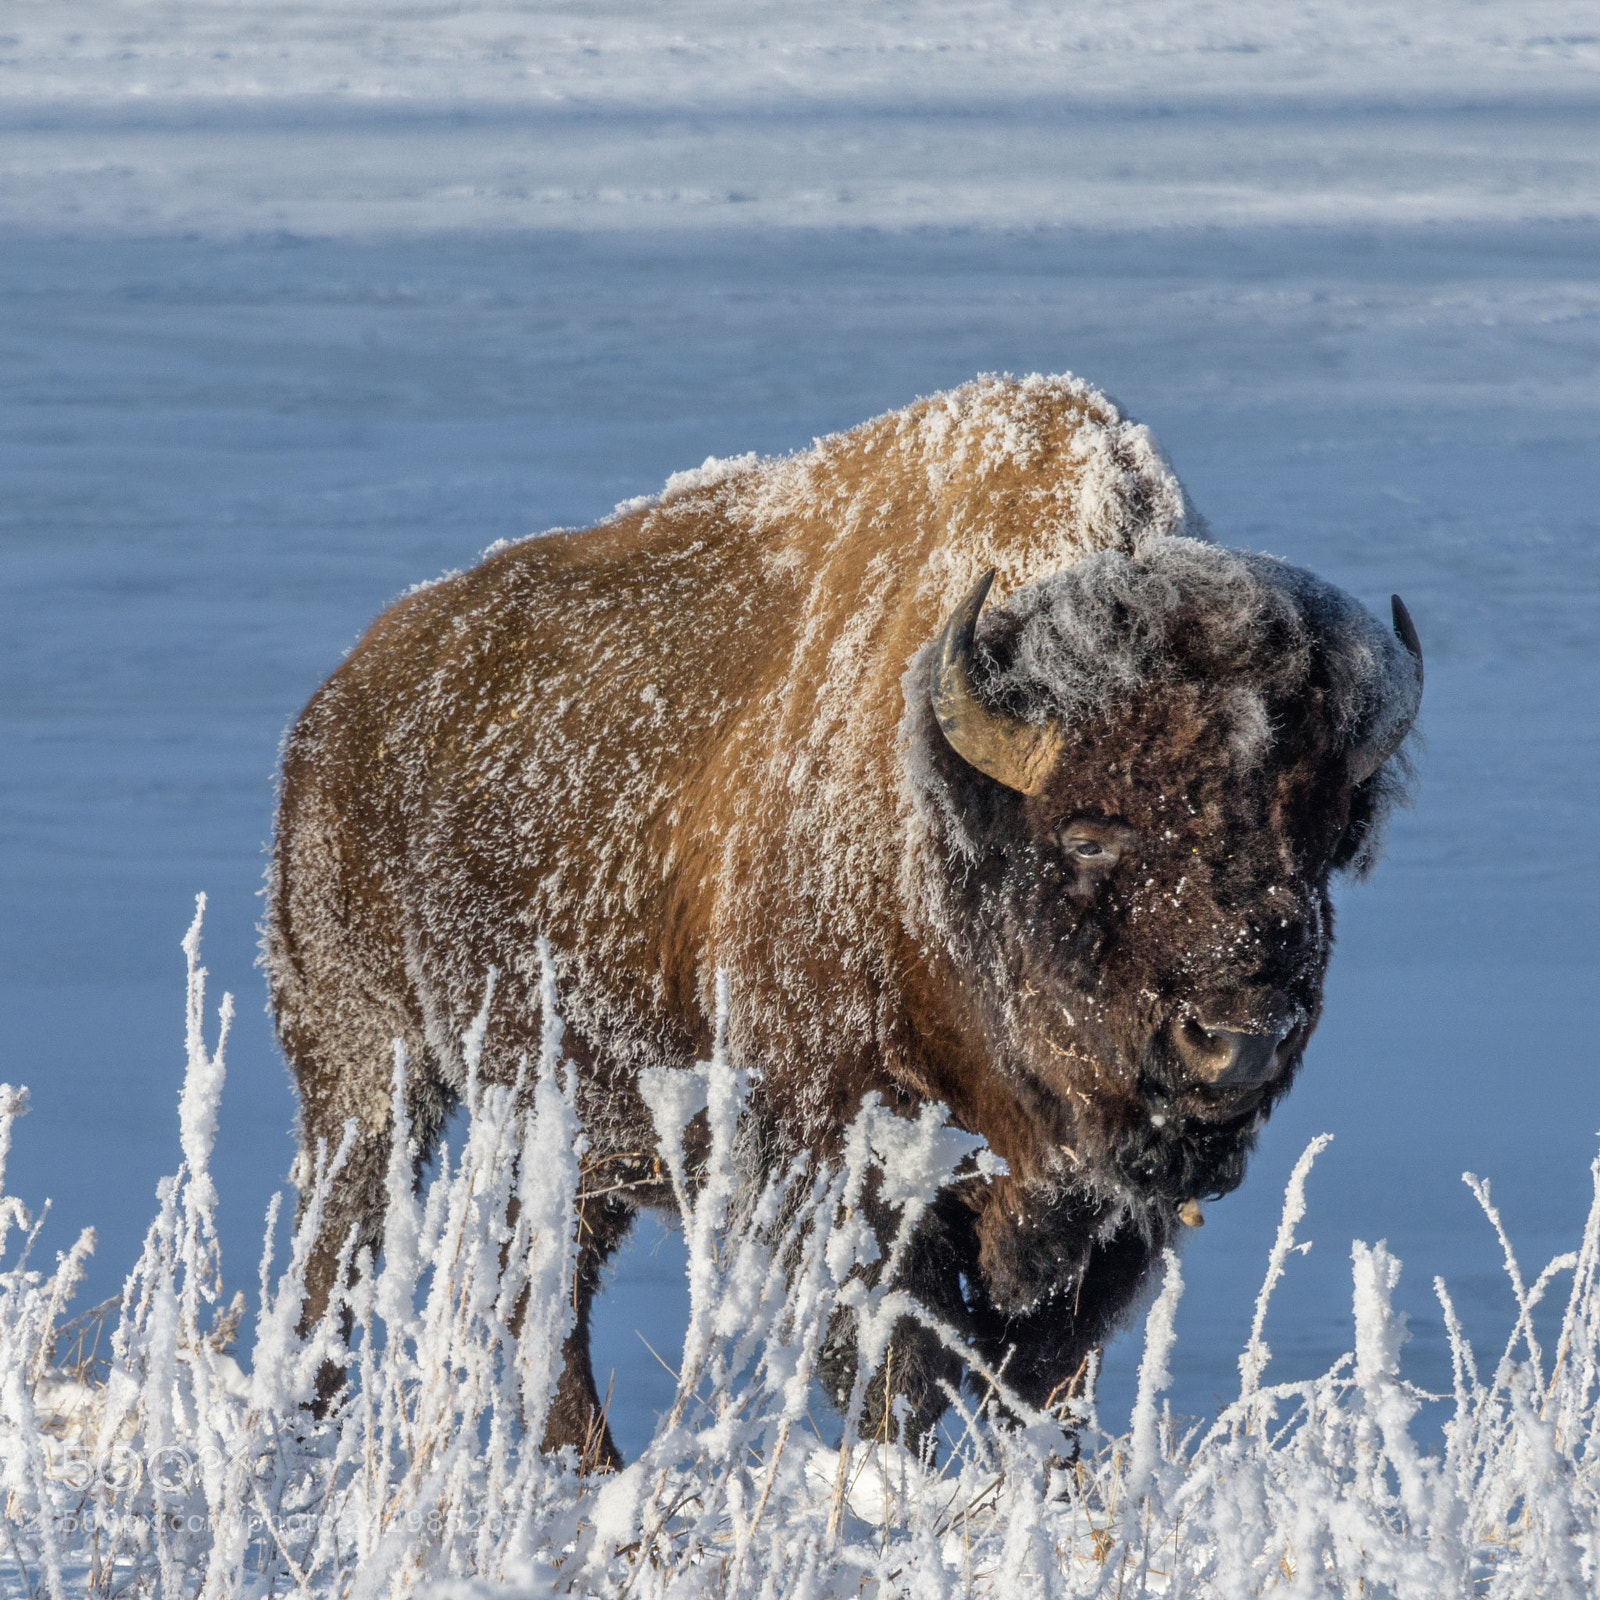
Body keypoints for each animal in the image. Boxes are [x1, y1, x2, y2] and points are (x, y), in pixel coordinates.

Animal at [266, 373, 1421, 1463]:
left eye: (1318, 839)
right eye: (1091, 832)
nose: (1237, 1038)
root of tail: (340, 704)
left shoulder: (1098, 1227)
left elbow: (1044, 1384)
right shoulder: (841, 1175)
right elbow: (892, 1369)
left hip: (563, 1124)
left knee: (539, 1296)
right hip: (367, 1078)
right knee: (345, 1263)